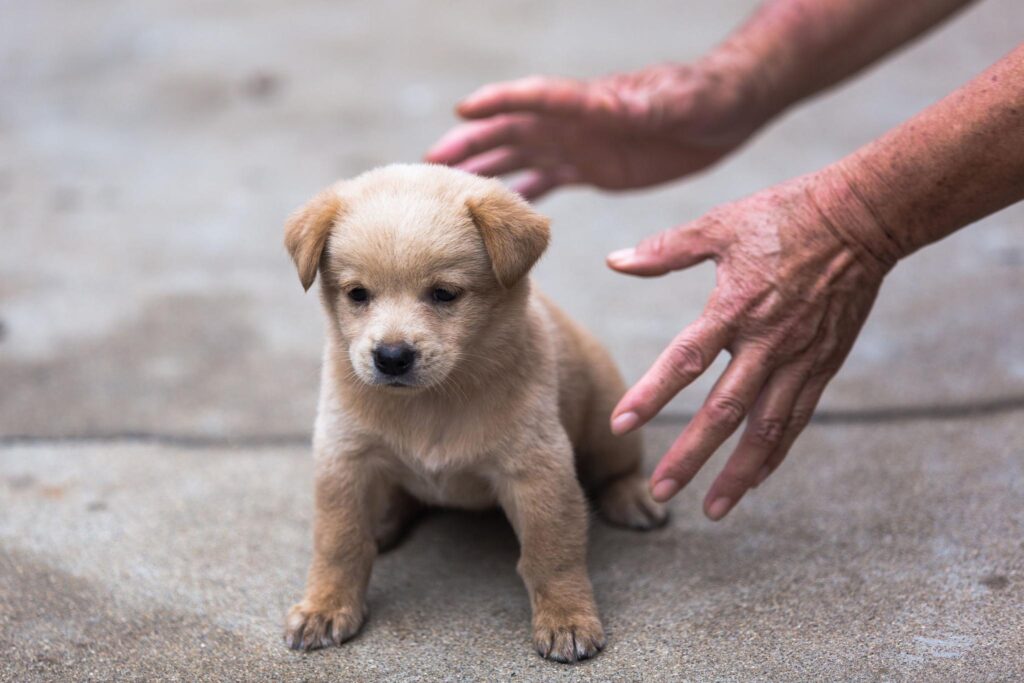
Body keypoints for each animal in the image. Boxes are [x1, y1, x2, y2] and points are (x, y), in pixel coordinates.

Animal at [282, 161, 663, 663]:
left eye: (444, 294)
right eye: (358, 294)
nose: (391, 357)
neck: (432, 402)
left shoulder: (538, 470)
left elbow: (551, 554)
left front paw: (567, 618)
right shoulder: (344, 459)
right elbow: (338, 543)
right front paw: (325, 607)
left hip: (607, 419)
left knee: (617, 468)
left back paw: (632, 496)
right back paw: (384, 520)